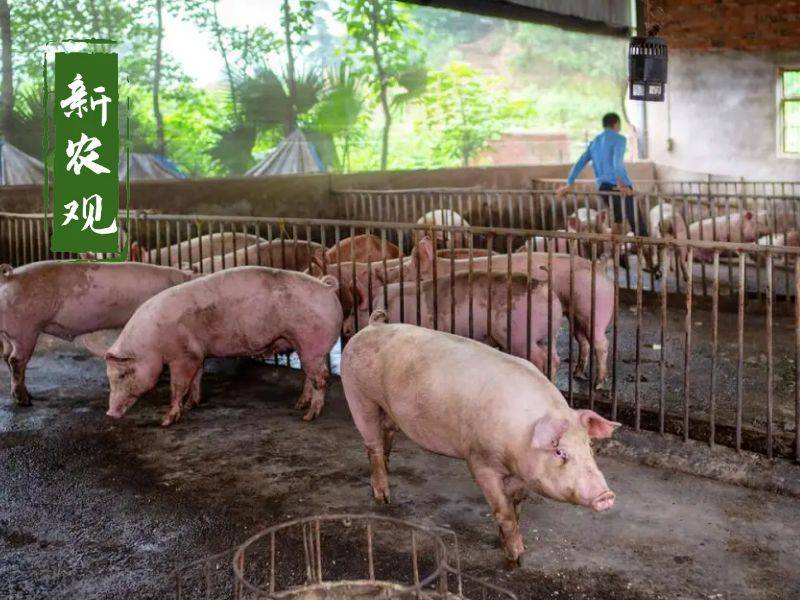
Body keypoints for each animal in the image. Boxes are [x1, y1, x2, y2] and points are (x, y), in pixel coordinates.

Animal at [0, 261, 191, 405]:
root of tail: (9, 276)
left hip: (10, 333)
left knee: (6, 356)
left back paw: (21, 395)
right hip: (26, 329)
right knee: (16, 360)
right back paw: (25, 401)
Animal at [104, 266, 342, 425]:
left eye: (122, 375)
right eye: (110, 377)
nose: (110, 413)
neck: (151, 344)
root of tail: (326, 288)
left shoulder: (184, 355)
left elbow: (178, 386)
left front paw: (166, 420)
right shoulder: (197, 353)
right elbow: (196, 378)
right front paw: (192, 404)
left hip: (311, 343)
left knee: (321, 377)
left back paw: (308, 416)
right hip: (306, 346)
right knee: (309, 375)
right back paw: (300, 404)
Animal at [341, 314, 619, 564]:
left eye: (589, 447)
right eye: (560, 452)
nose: (605, 495)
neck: (521, 437)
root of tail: (372, 326)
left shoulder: (520, 474)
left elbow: (516, 504)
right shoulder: (480, 461)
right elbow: (503, 510)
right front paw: (517, 558)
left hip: (388, 409)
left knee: (386, 434)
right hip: (359, 396)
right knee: (373, 444)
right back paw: (383, 498)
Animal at [345, 272, 562, 379]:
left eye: (354, 311)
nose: (345, 329)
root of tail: (545, 289)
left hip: (520, 335)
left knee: (539, 357)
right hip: (549, 335)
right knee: (555, 358)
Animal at [393, 238, 614, 386]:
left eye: (405, 273)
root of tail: (599, 267)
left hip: (593, 307)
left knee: (601, 342)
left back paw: (598, 383)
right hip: (575, 315)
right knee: (582, 340)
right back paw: (577, 373)